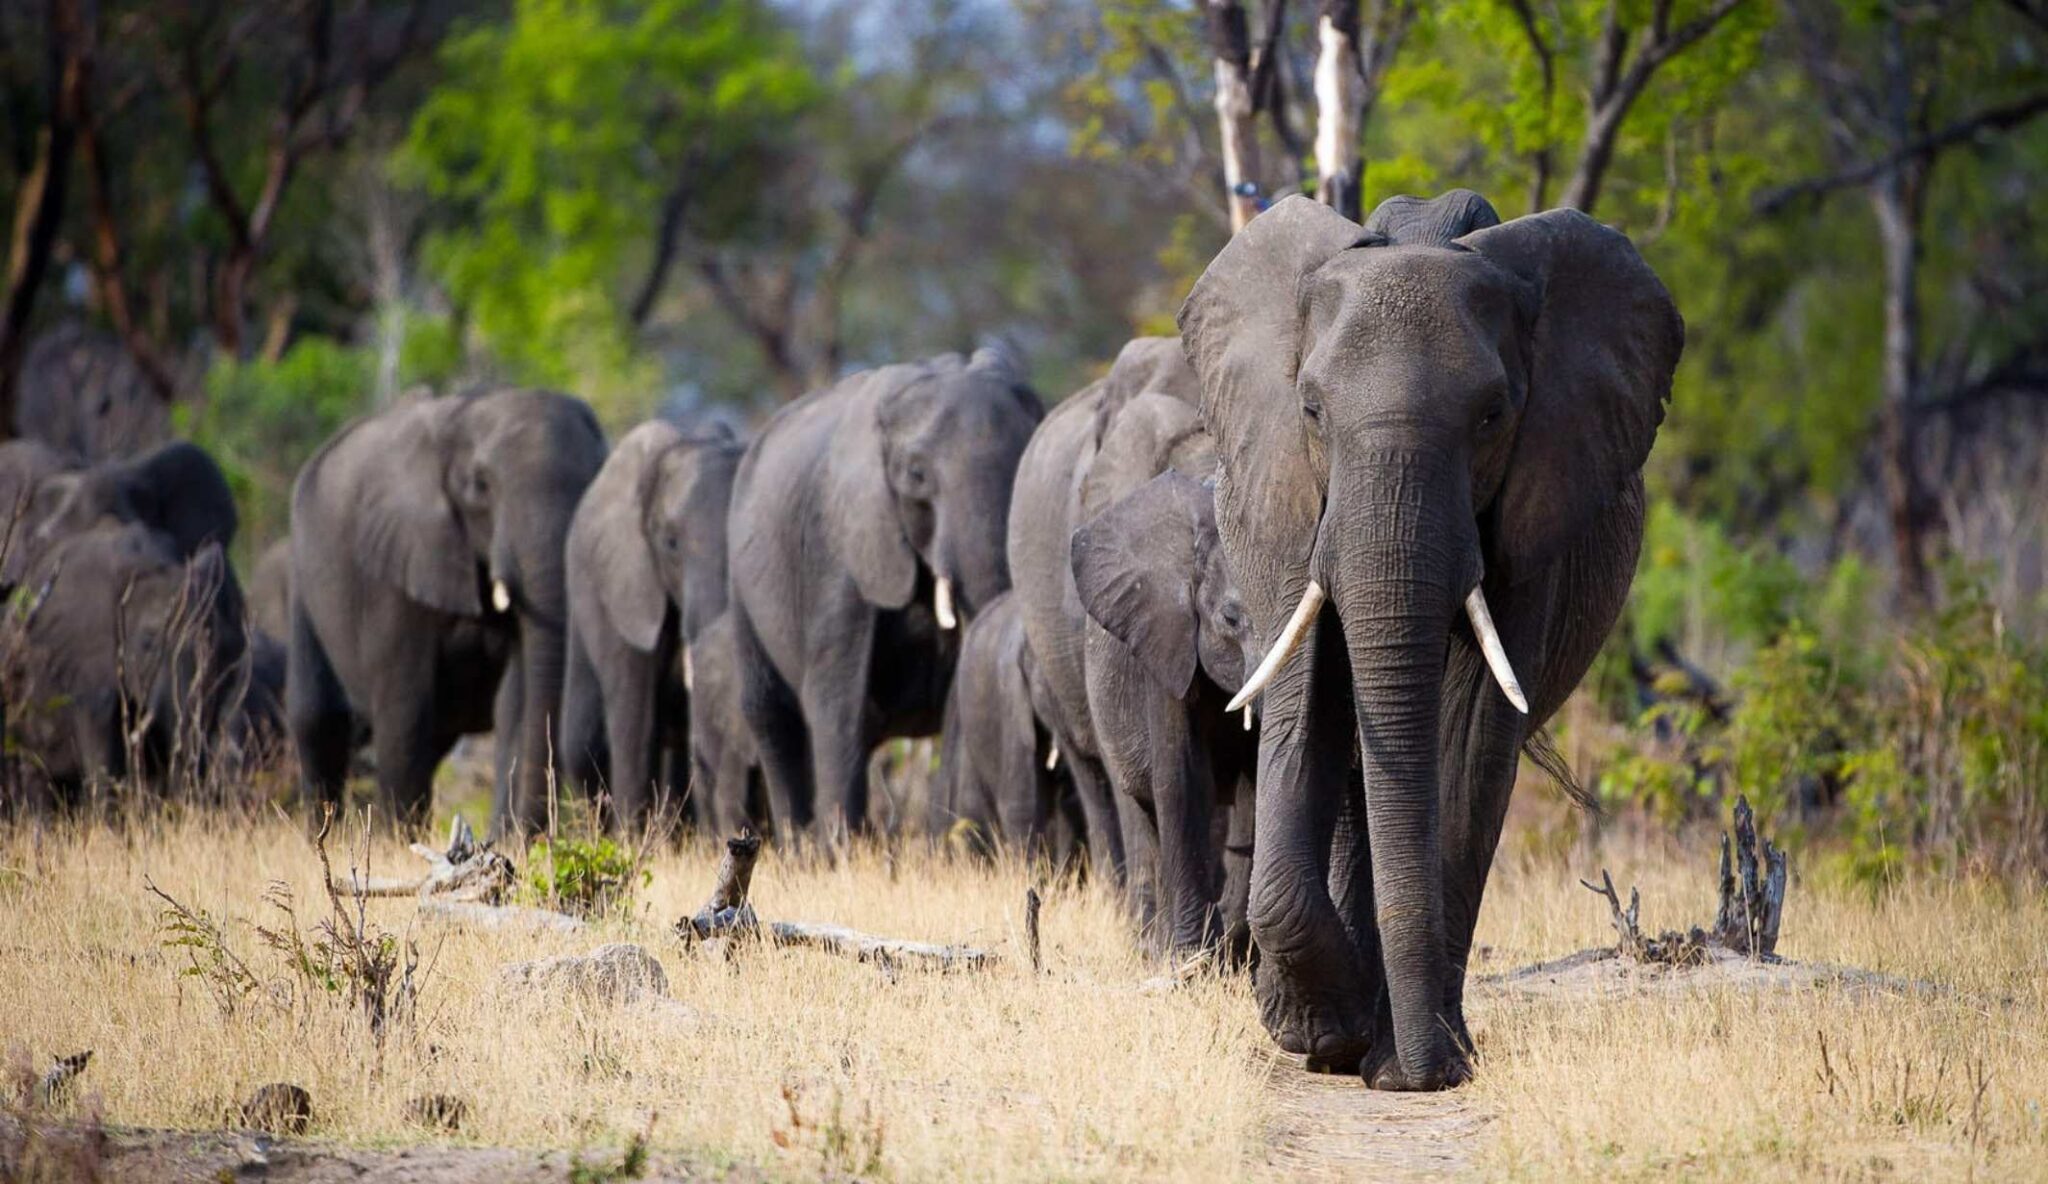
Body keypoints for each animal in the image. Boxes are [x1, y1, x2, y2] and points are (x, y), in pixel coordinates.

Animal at [286, 387, 608, 834]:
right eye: (480, 485)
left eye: (595, 478)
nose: (531, 836)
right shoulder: (396, 566)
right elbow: (406, 706)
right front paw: (397, 839)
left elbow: (516, 699)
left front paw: (506, 838)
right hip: (303, 576)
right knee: (319, 718)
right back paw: (324, 833)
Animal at [726, 347, 1043, 845]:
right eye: (916, 475)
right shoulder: (840, 546)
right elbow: (837, 697)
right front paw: (842, 855)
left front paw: (943, 847)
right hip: (741, 581)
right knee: (772, 717)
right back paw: (798, 849)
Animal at [1073, 469, 1259, 956]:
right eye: (1230, 618)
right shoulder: (1164, 644)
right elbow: (1181, 778)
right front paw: (1189, 960)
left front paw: (1232, 950)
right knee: (1146, 813)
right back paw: (1152, 949)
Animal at [1177, 190, 1682, 1089]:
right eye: (1311, 410)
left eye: (1492, 416)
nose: (1420, 1071)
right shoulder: (1285, 500)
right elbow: (1306, 703)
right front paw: (1325, 1031)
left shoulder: (1537, 508)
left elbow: (1470, 733)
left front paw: (1417, 1063)